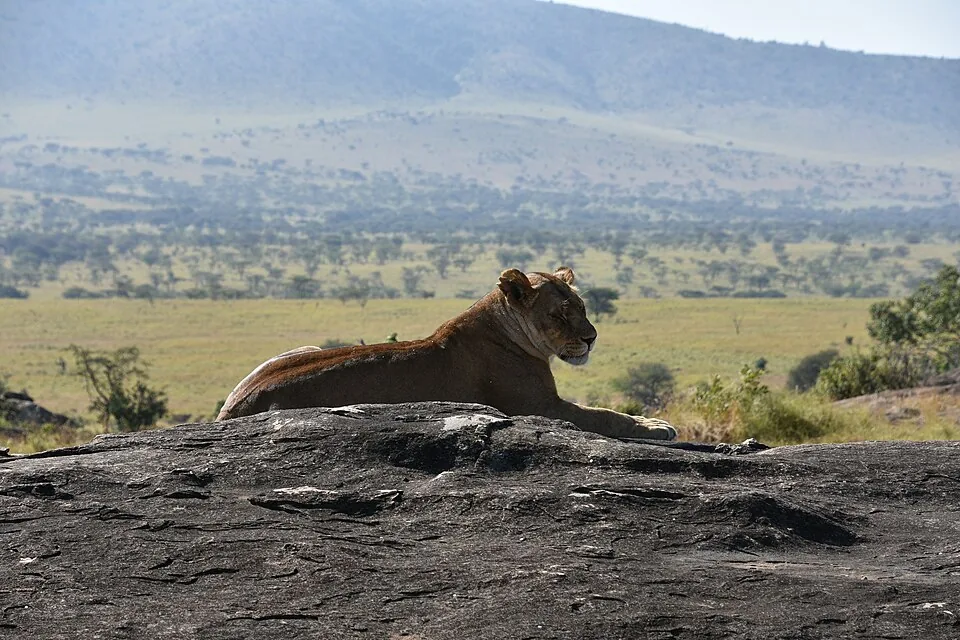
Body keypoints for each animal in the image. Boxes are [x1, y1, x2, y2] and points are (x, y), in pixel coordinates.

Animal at [216, 267, 678, 440]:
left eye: (582, 306)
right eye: (559, 314)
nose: (592, 338)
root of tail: (229, 410)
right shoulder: (539, 407)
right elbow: (605, 416)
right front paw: (656, 426)